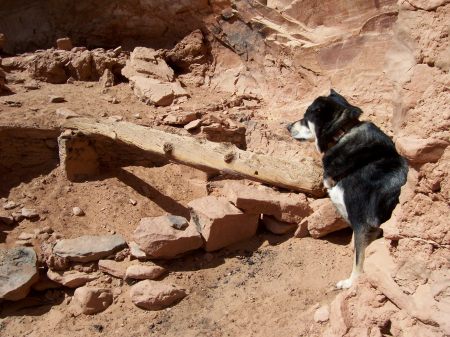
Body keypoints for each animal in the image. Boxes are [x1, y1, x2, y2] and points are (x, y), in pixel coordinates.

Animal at [288, 90, 408, 288]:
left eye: (306, 117)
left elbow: (359, 256)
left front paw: (352, 282)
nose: (288, 126)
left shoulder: (362, 222)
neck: (341, 134)